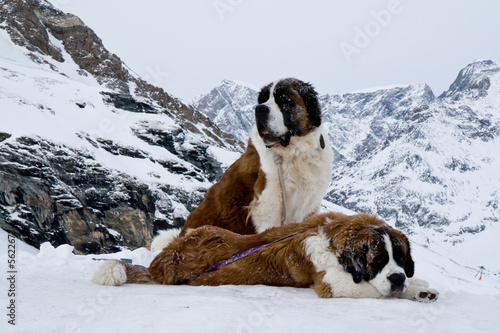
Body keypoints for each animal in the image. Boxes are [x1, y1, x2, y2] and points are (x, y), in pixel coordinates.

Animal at [93, 211, 438, 302]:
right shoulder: (333, 282)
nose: (398, 277)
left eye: (401, 260)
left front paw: (420, 287)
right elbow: (373, 289)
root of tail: (161, 263)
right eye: (377, 262)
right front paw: (409, 290)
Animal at [150, 77, 334, 249]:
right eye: (262, 100)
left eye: (283, 99)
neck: (296, 152)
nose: (259, 109)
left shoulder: (309, 206)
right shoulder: (268, 204)